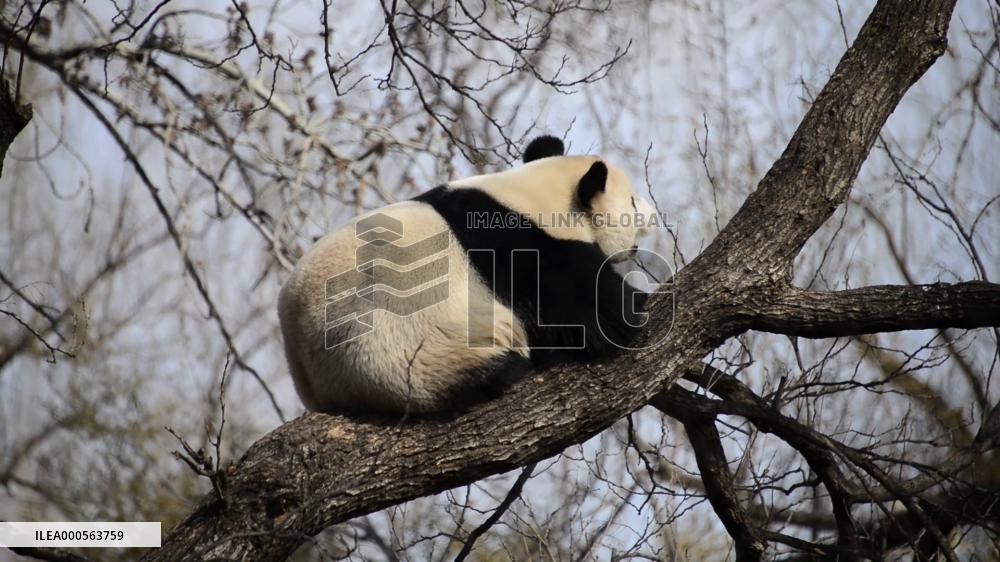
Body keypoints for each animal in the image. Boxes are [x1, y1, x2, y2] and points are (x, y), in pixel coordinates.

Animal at [278, 136, 659, 414]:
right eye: (632, 202)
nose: (655, 217)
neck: (534, 196)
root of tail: (320, 390)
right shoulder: (524, 249)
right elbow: (599, 315)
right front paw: (634, 304)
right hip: (402, 352)